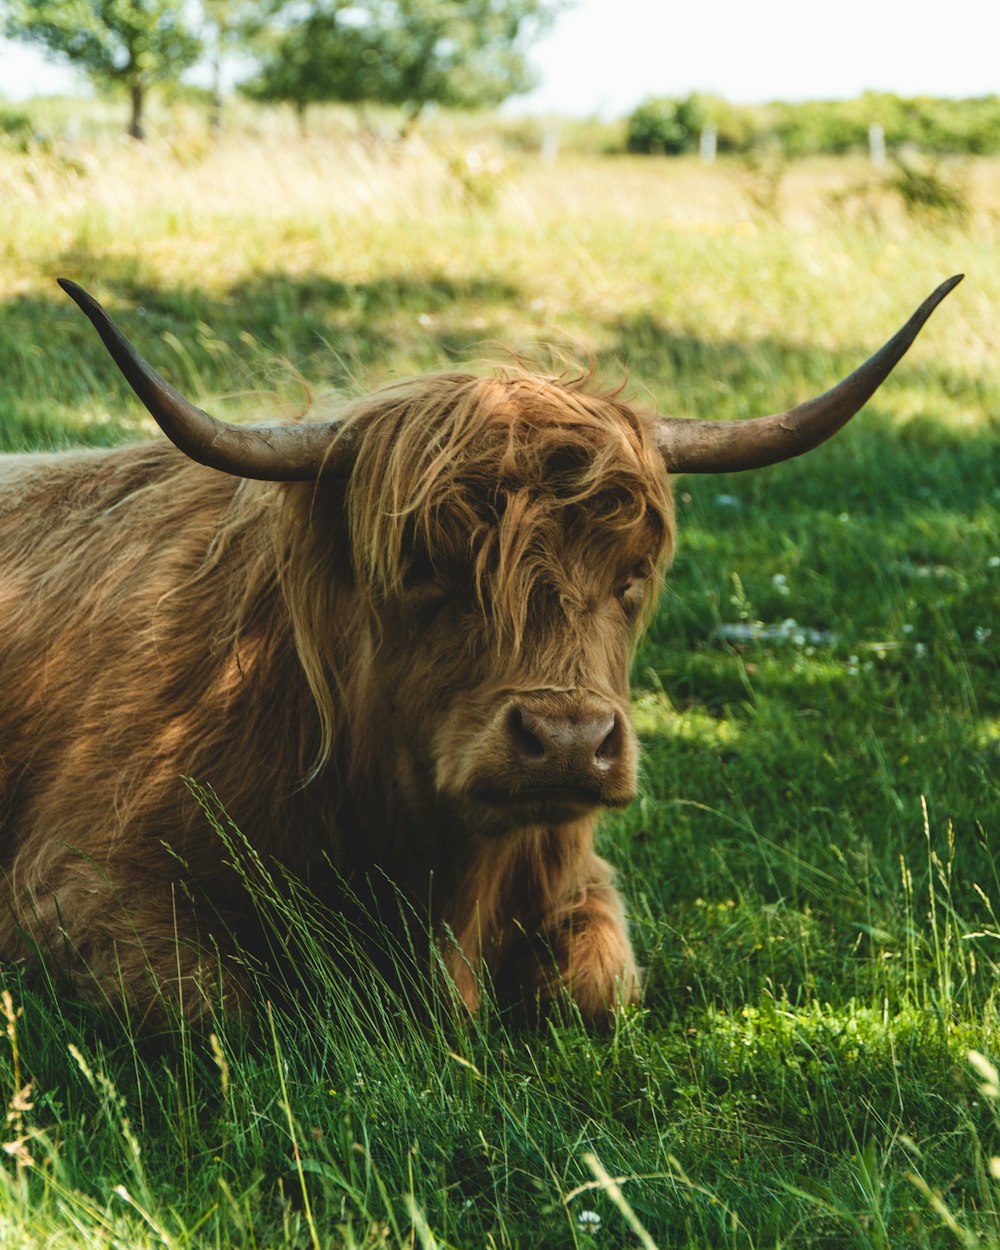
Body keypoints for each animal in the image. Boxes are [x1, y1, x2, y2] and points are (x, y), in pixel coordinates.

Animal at [0, 276, 960, 1025]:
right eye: (427, 565)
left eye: (632, 574)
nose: (568, 742)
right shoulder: (75, 887)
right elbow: (229, 1007)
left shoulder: (579, 879)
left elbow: (600, 989)